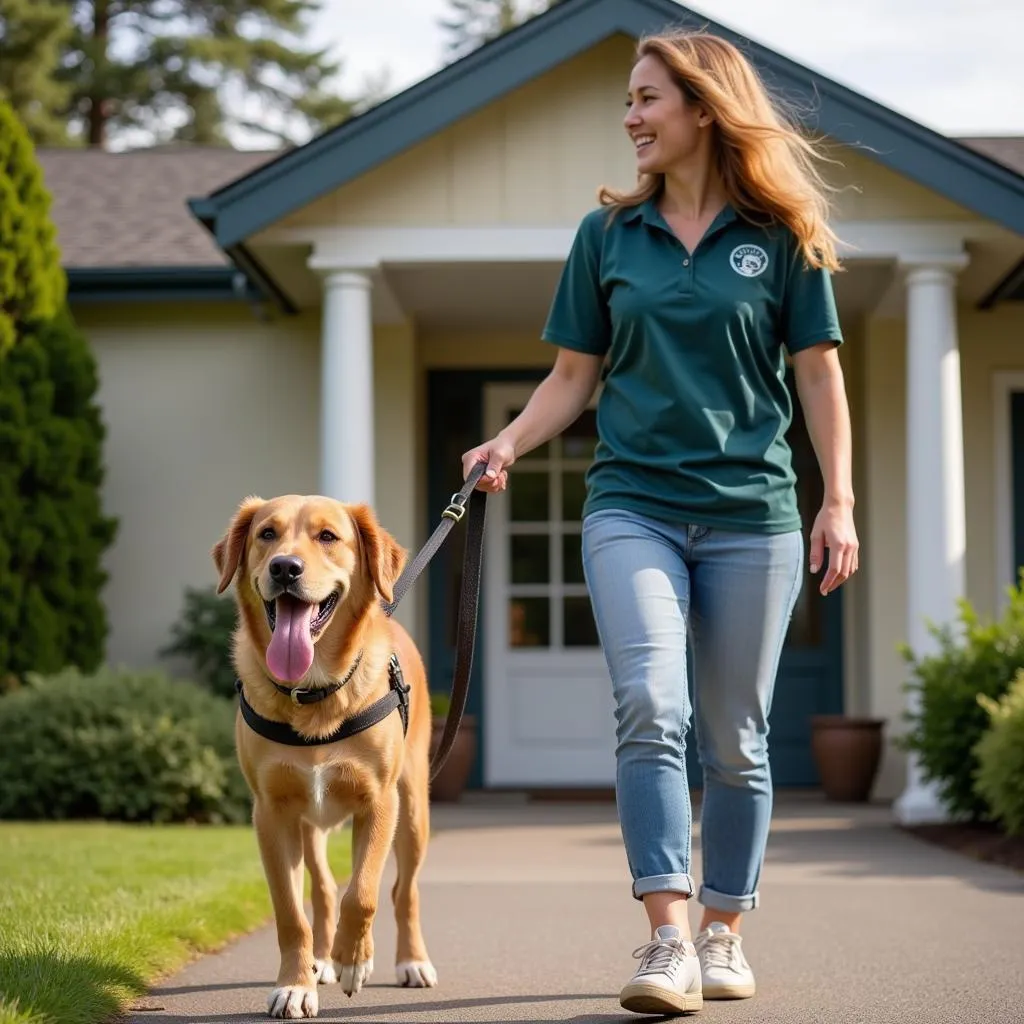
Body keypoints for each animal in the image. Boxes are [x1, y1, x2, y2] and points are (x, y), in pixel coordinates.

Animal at [214, 493, 438, 1015]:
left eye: (328, 537)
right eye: (267, 534)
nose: (285, 568)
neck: (313, 691)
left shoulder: (379, 803)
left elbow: (365, 893)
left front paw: (355, 960)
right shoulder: (271, 813)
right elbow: (290, 910)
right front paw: (296, 984)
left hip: (413, 812)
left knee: (403, 890)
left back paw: (408, 961)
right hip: (309, 825)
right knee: (322, 888)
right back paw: (321, 960)